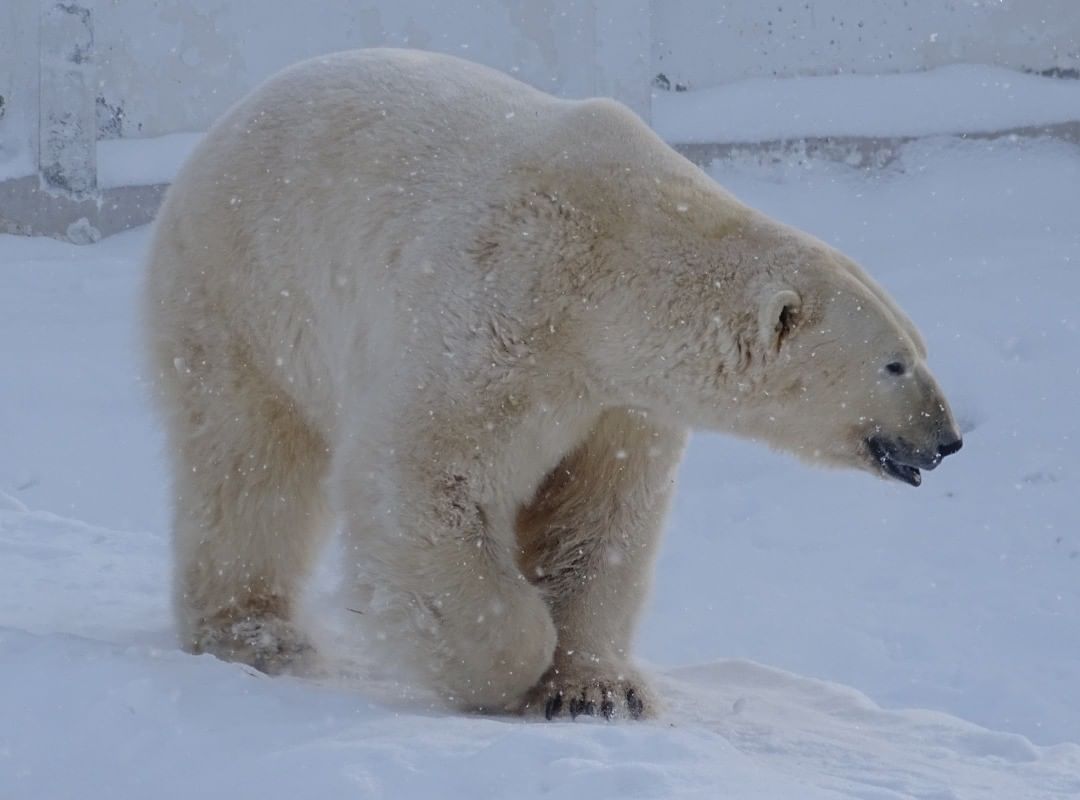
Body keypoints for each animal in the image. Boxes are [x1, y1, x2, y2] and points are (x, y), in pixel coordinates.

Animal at [145, 49, 963, 721]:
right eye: (894, 363)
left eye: (921, 348)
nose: (947, 438)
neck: (611, 267)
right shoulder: (498, 316)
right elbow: (419, 475)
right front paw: (511, 664)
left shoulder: (617, 403)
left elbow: (600, 516)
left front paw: (596, 691)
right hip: (246, 296)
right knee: (249, 465)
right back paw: (254, 633)